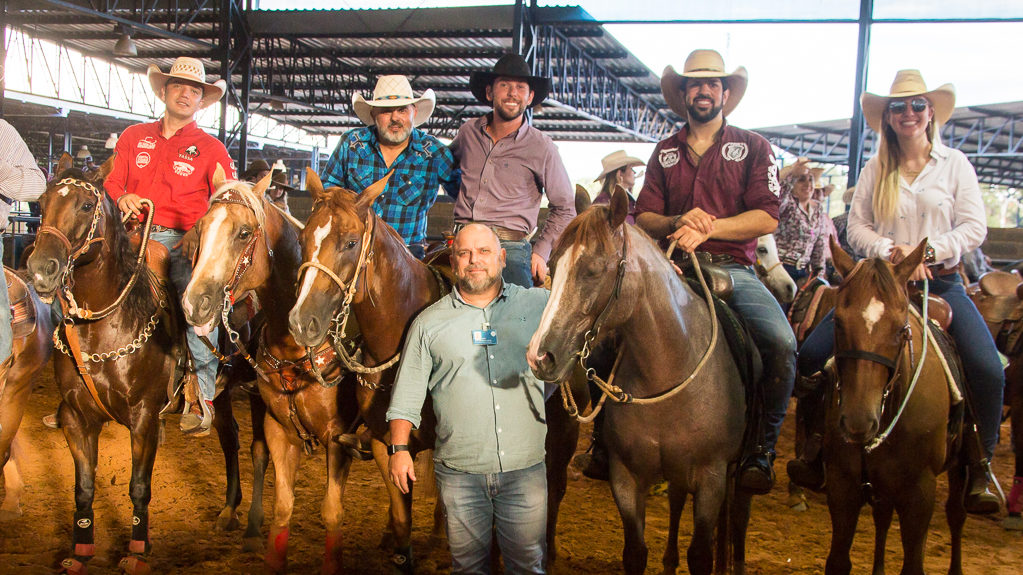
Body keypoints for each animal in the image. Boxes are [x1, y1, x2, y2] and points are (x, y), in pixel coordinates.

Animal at [25, 153, 184, 572]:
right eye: (42, 202)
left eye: (85, 206)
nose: (42, 267)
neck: (103, 326)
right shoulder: (77, 417)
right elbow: (83, 486)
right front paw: (80, 550)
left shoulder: (143, 416)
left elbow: (139, 487)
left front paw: (137, 551)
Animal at [180, 167, 360, 568]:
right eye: (200, 229)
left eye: (244, 233)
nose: (194, 302)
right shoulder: (268, 411)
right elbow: (264, 464)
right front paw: (250, 526)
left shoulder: (337, 435)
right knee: (232, 439)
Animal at [527, 189, 752, 572]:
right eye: (553, 266)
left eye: (593, 270)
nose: (540, 356)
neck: (669, 369)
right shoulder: (627, 477)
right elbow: (635, 552)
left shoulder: (711, 478)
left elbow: (701, 554)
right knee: (676, 501)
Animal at [822, 237, 965, 572]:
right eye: (837, 321)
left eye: (901, 328)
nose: (858, 422)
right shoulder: (842, 485)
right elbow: (838, 561)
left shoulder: (920, 494)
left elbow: (913, 564)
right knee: (882, 517)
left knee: (956, 513)